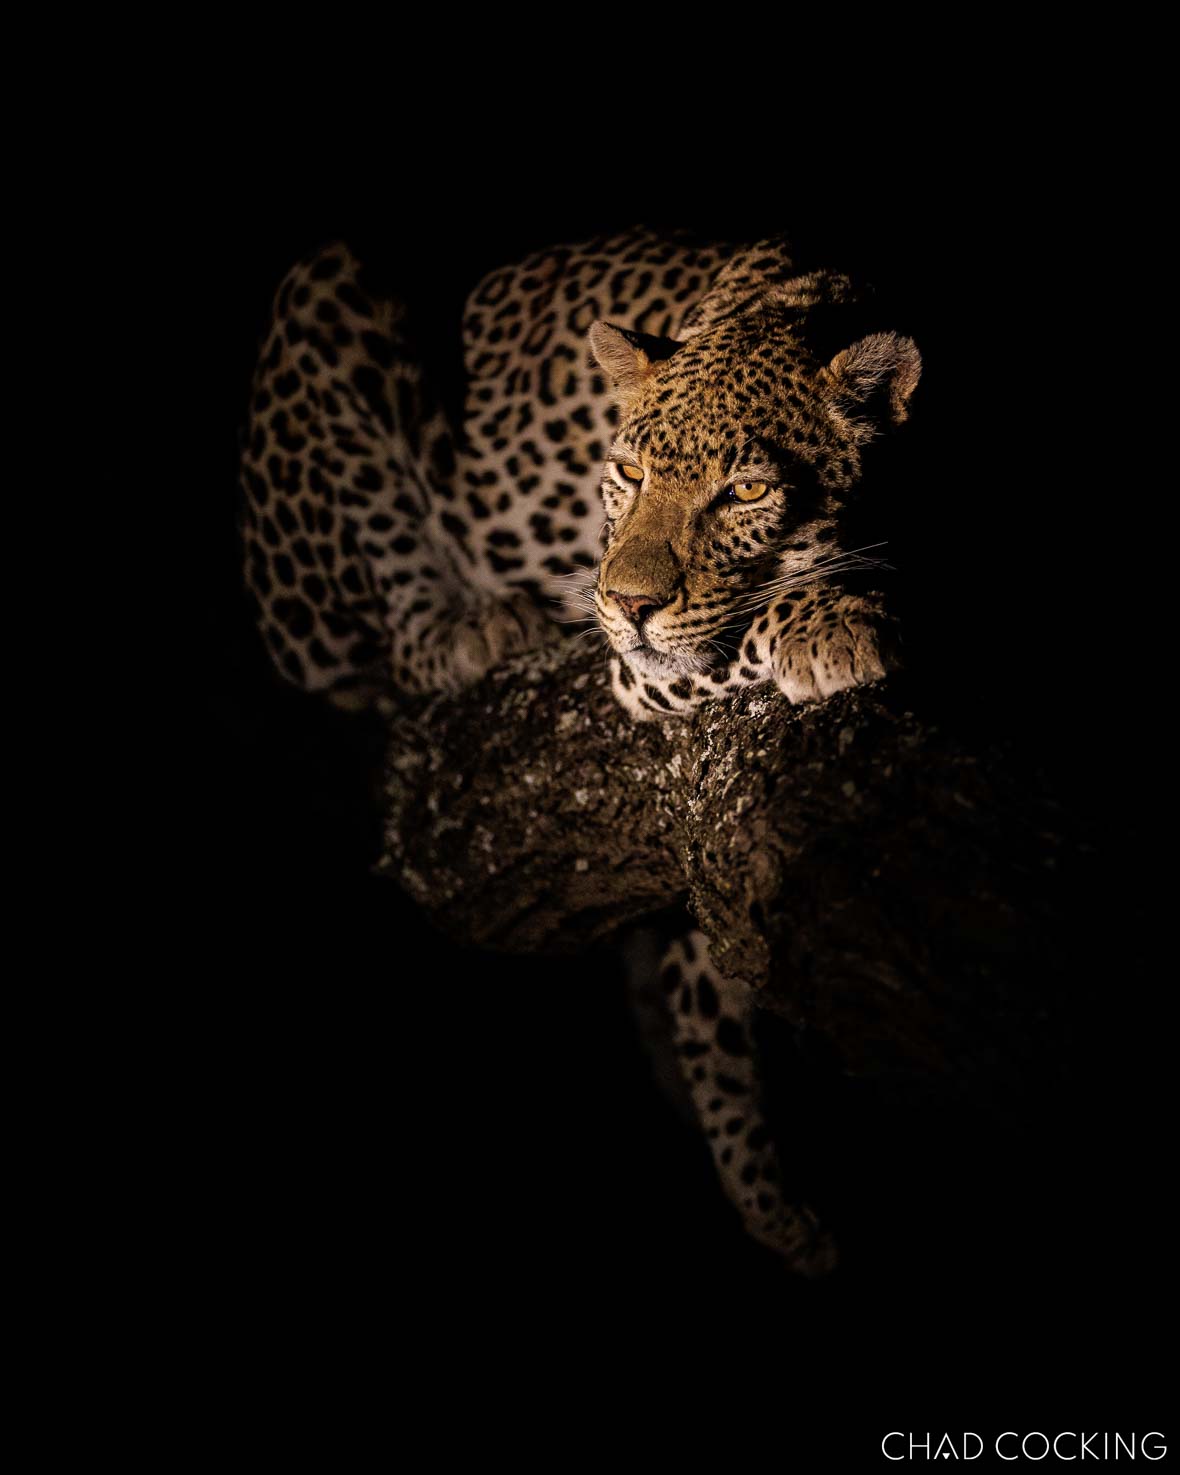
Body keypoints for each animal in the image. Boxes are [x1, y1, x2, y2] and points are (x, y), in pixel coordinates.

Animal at [239, 226, 921, 1276]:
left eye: (748, 491)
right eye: (629, 474)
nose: (625, 602)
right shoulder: (644, 668)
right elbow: (733, 629)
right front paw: (832, 621)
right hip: (324, 340)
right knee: (382, 631)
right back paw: (469, 627)